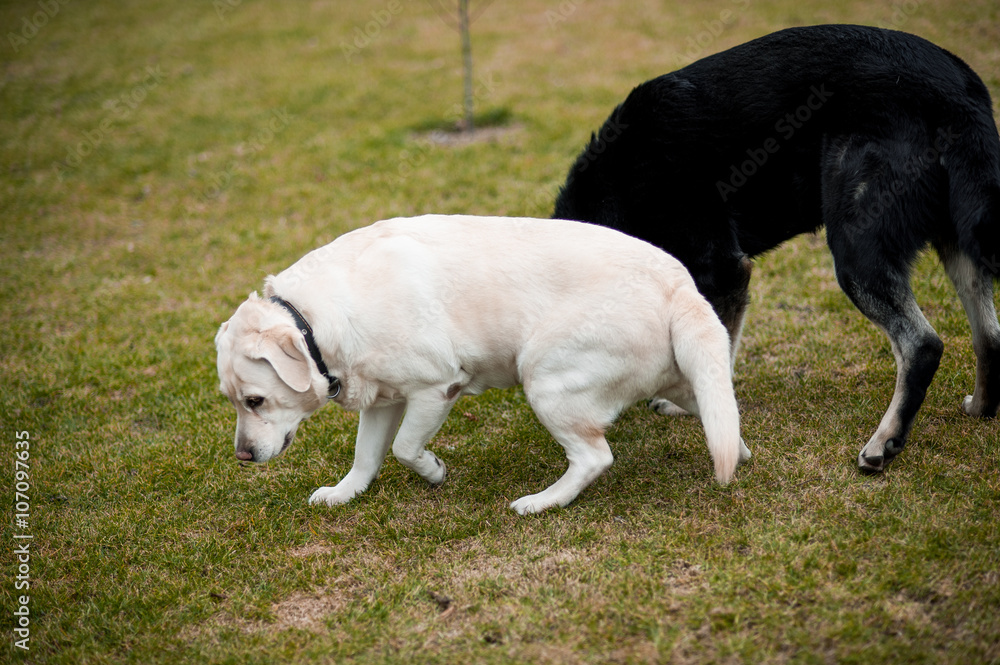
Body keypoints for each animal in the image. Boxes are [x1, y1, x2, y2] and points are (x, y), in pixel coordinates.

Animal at [217, 214, 752, 512]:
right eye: (234, 402)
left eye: (255, 400)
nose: (242, 457)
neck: (315, 318)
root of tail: (678, 285)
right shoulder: (382, 401)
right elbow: (365, 456)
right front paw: (344, 493)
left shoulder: (436, 388)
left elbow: (404, 449)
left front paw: (433, 471)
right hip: (686, 379)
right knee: (724, 419)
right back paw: (740, 452)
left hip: (544, 378)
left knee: (594, 457)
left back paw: (541, 503)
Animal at [556, 26, 1000, 472]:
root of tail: (958, 93)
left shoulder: (722, 271)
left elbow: (714, 353)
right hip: (960, 243)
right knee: (989, 337)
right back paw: (981, 408)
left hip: (855, 249)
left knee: (922, 345)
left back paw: (884, 442)